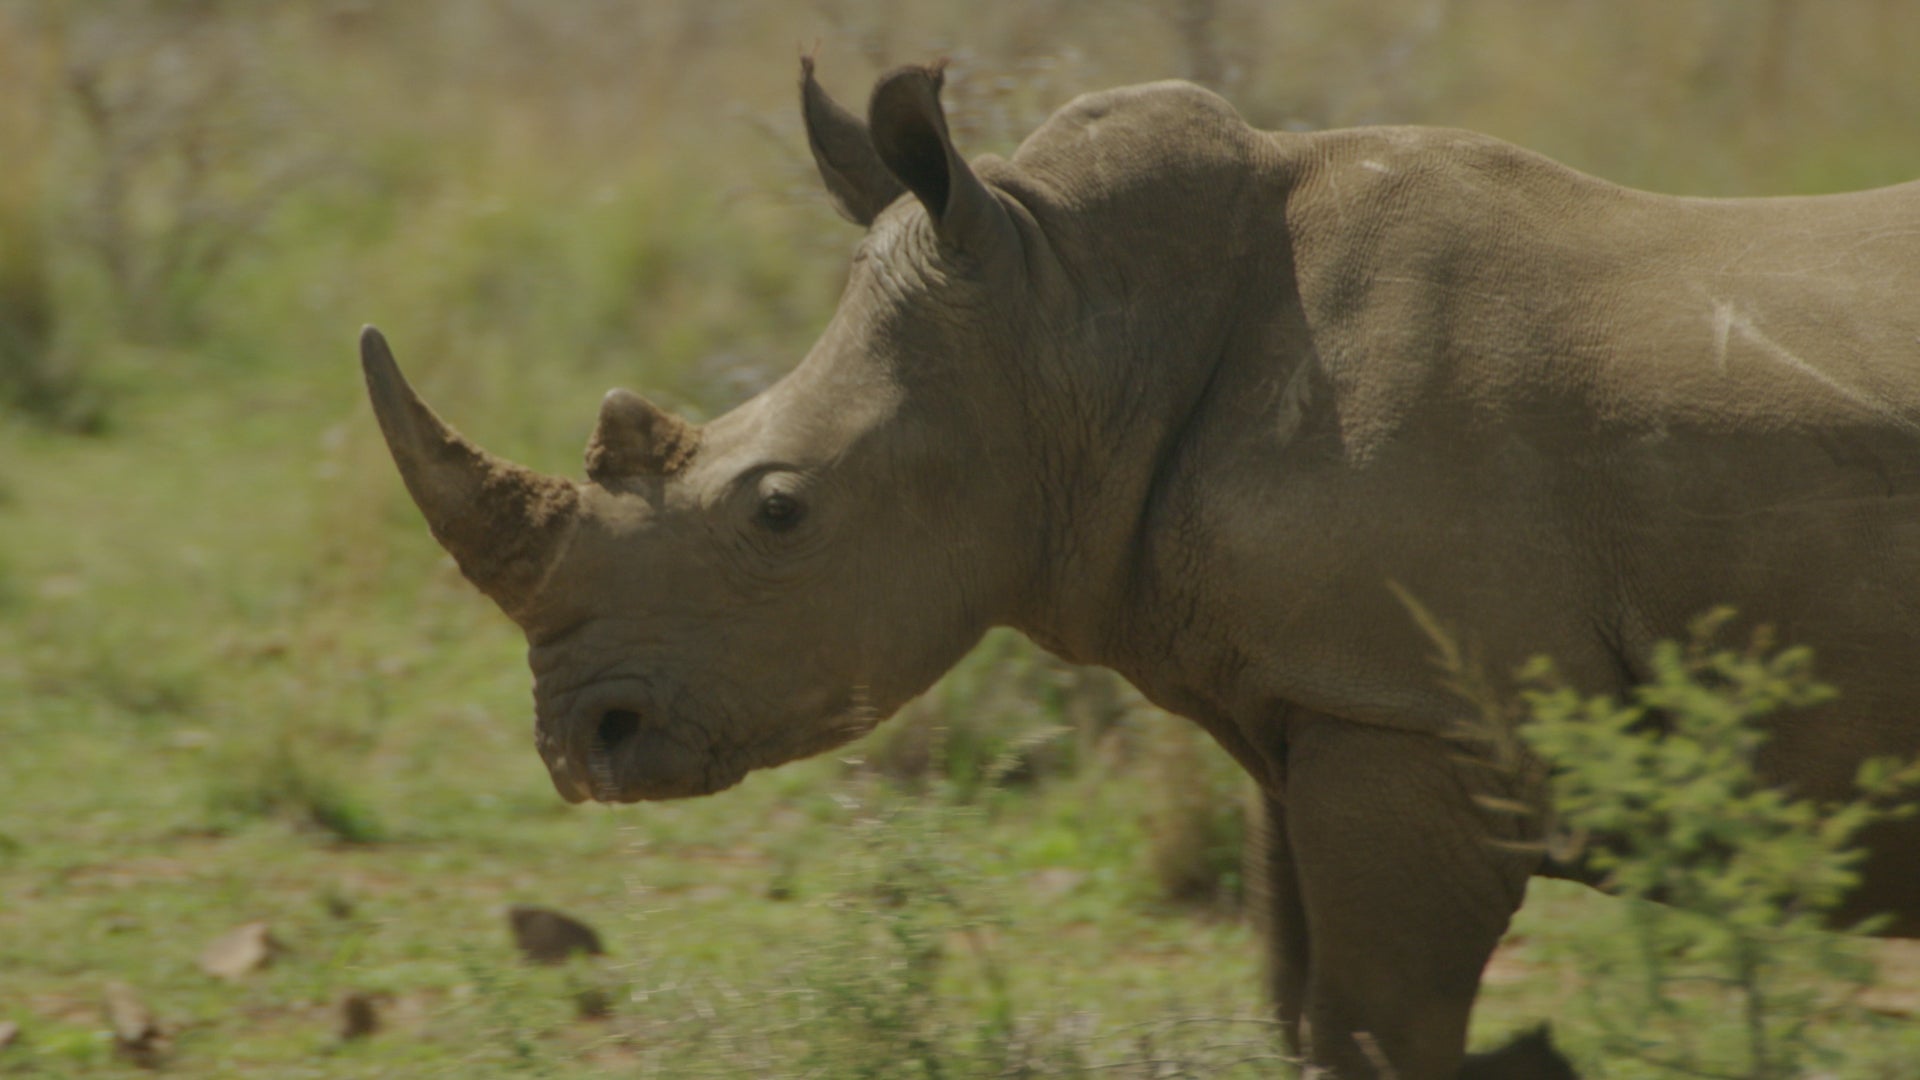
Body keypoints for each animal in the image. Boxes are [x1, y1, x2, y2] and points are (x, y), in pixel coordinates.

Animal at [362, 60, 1920, 1079]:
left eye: (781, 512)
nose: (584, 744)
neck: (1079, 322)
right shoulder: (1330, 699)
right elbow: (1309, 1009)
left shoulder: (1421, 715)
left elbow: (1382, 1025)